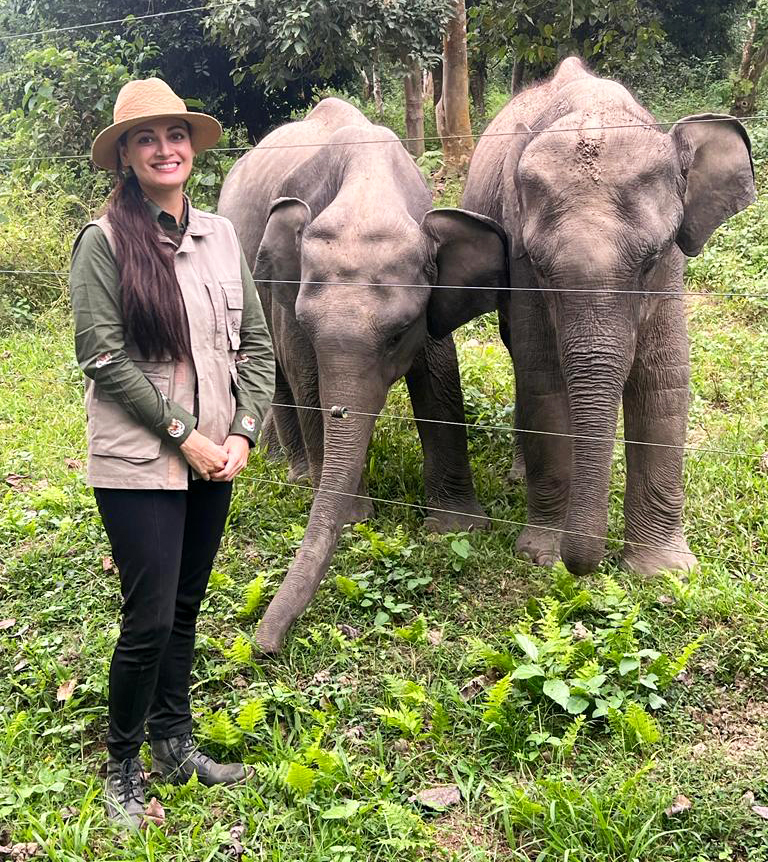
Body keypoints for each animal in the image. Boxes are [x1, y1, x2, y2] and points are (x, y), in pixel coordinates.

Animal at [218, 99, 510, 656]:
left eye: (397, 334)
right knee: (277, 374)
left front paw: (457, 525)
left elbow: (440, 376)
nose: (262, 644)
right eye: (310, 324)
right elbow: (304, 373)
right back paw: (296, 472)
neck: (366, 191)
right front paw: (355, 517)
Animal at [432, 55, 756, 580]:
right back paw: (519, 475)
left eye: (651, 259)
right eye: (541, 265)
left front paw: (664, 571)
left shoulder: (670, 274)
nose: (586, 565)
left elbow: (664, 378)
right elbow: (543, 377)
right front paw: (541, 555)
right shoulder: (521, 266)